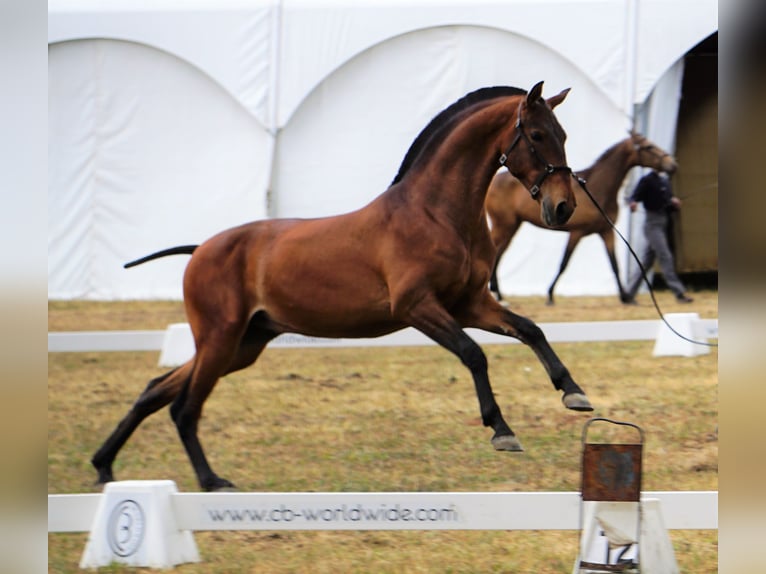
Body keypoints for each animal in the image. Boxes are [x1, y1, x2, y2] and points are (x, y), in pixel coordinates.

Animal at [91, 83, 592, 492]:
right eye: (538, 135)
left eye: (564, 134)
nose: (563, 207)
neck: (436, 212)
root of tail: (200, 250)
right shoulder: (418, 307)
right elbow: (474, 354)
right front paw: (502, 430)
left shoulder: (470, 303)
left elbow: (530, 329)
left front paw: (573, 392)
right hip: (220, 339)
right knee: (184, 406)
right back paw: (211, 481)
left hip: (243, 344)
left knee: (156, 389)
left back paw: (104, 466)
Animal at [492, 134, 680, 306]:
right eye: (649, 147)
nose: (672, 165)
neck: (598, 188)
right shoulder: (577, 233)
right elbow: (563, 264)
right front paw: (550, 295)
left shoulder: (606, 231)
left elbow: (614, 265)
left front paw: (626, 297)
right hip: (504, 226)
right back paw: (497, 295)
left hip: (512, 227)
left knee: (498, 254)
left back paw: (499, 295)